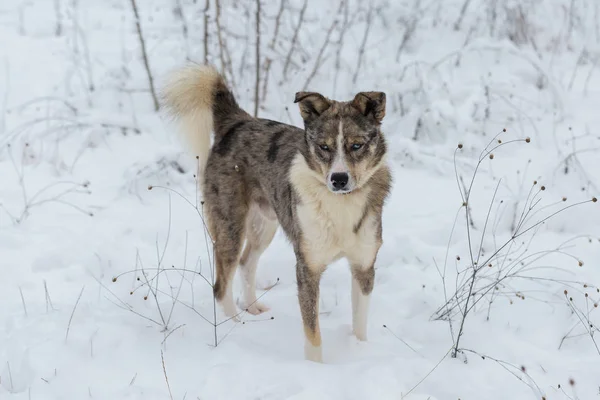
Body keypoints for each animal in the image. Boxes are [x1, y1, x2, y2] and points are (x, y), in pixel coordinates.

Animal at [162, 65, 392, 362]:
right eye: (324, 147)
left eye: (356, 145)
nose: (339, 179)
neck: (340, 204)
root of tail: (238, 121)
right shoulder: (307, 268)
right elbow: (312, 332)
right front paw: (315, 367)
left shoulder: (364, 266)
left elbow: (360, 323)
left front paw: (361, 350)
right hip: (230, 226)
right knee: (221, 285)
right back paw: (234, 327)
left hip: (264, 226)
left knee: (247, 262)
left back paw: (252, 307)